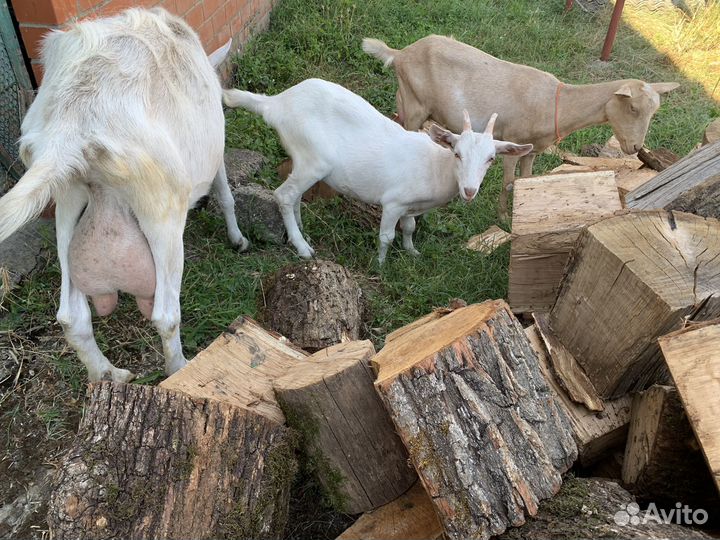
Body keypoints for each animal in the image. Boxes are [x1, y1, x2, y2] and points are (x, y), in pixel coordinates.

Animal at [0, 8, 249, 382]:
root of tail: (72, 124)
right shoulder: (214, 154)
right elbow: (225, 193)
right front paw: (238, 239)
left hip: (66, 199)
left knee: (71, 316)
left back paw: (110, 374)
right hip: (161, 205)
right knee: (165, 314)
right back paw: (179, 369)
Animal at [223, 78, 532, 263]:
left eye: (490, 159)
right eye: (457, 154)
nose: (469, 190)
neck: (434, 167)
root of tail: (275, 104)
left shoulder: (410, 207)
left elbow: (409, 228)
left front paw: (412, 252)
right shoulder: (393, 202)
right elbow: (387, 236)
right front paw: (381, 264)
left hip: (303, 160)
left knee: (294, 195)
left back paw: (301, 230)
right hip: (313, 159)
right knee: (284, 195)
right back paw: (303, 248)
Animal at [362, 35, 679, 219]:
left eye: (655, 112)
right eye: (633, 108)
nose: (635, 147)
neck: (556, 103)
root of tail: (400, 53)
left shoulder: (532, 150)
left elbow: (526, 180)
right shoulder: (512, 140)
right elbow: (508, 182)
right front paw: (503, 219)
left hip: (411, 101)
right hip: (413, 100)